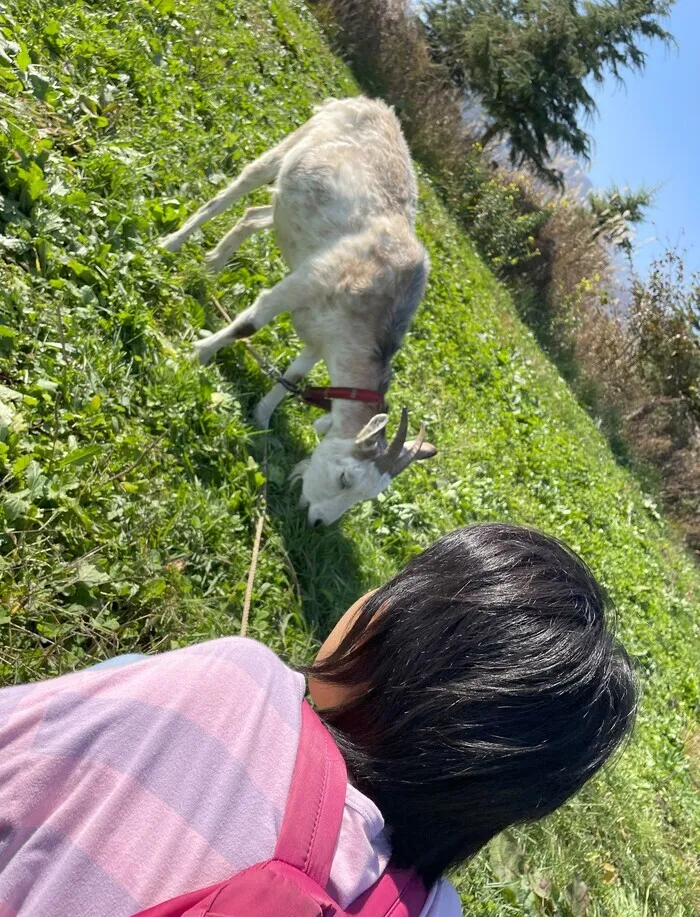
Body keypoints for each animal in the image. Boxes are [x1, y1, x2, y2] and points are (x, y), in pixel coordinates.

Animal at [163, 96, 438, 524]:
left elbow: (294, 375)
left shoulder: (324, 339)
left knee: (255, 215)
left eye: (366, 497)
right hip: (289, 146)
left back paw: (212, 265)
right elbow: (249, 324)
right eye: (345, 478)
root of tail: (369, 103)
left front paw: (261, 417)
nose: (318, 521)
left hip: (288, 209)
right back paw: (170, 244)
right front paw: (197, 355)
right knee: (236, 189)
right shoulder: (307, 281)